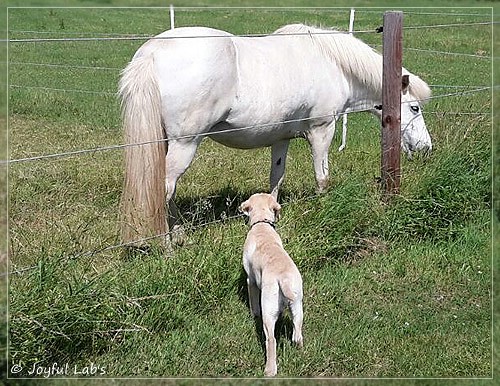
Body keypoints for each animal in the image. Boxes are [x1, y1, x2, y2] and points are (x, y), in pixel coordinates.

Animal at [119, 23, 432, 244]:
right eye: (415, 107)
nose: (426, 148)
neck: (331, 62)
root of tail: (152, 53)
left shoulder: (281, 139)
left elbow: (276, 178)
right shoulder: (322, 130)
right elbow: (322, 177)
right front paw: (323, 210)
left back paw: (179, 236)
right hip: (184, 144)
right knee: (165, 189)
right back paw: (167, 245)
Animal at [240, 193, 302, 376]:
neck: (262, 224)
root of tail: (283, 279)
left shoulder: (250, 280)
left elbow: (252, 302)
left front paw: (253, 313)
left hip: (267, 310)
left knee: (271, 340)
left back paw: (270, 370)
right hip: (297, 304)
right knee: (297, 330)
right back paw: (299, 348)